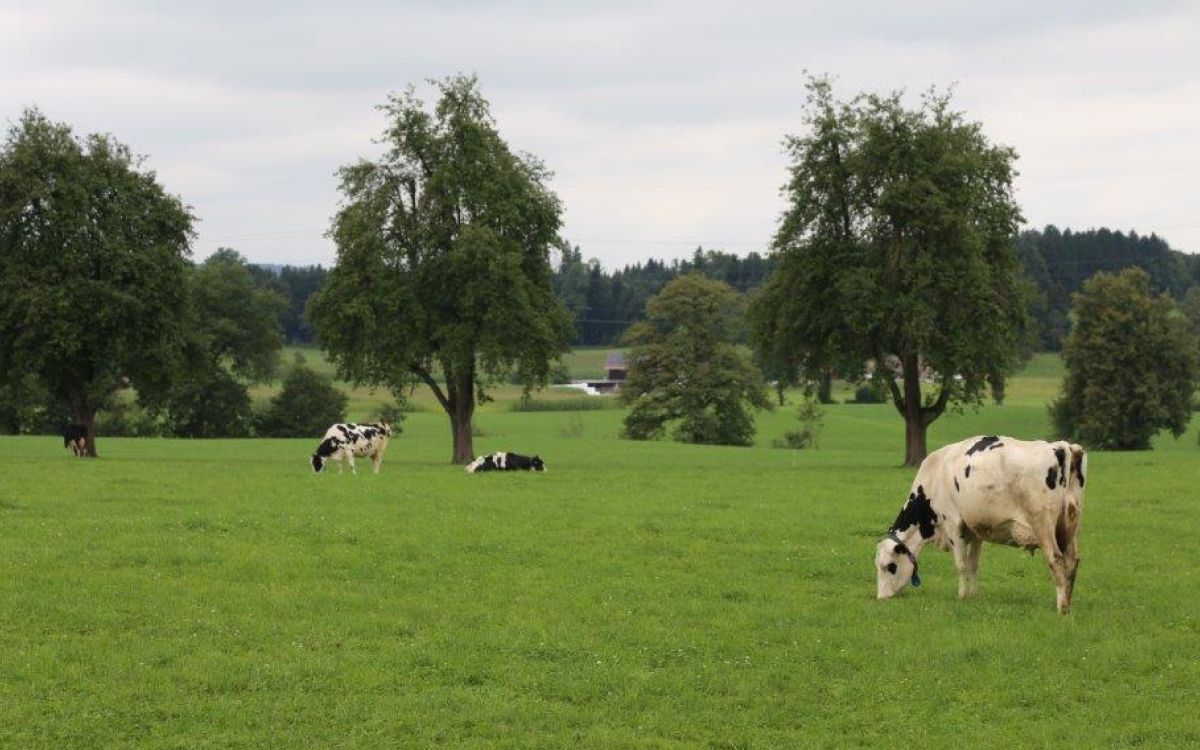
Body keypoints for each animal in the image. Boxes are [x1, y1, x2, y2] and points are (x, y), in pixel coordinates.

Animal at [873, 436, 1089, 612]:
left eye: (889, 566)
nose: (881, 598)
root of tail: (1061, 446)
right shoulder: (976, 530)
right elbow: (973, 564)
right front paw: (974, 596)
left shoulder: (953, 523)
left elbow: (961, 565)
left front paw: (961, 596)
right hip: (1071, 525)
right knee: (1072, 560)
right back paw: (1068, 601)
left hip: (1043, 524)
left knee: (1055, 558)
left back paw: (1061, 606)